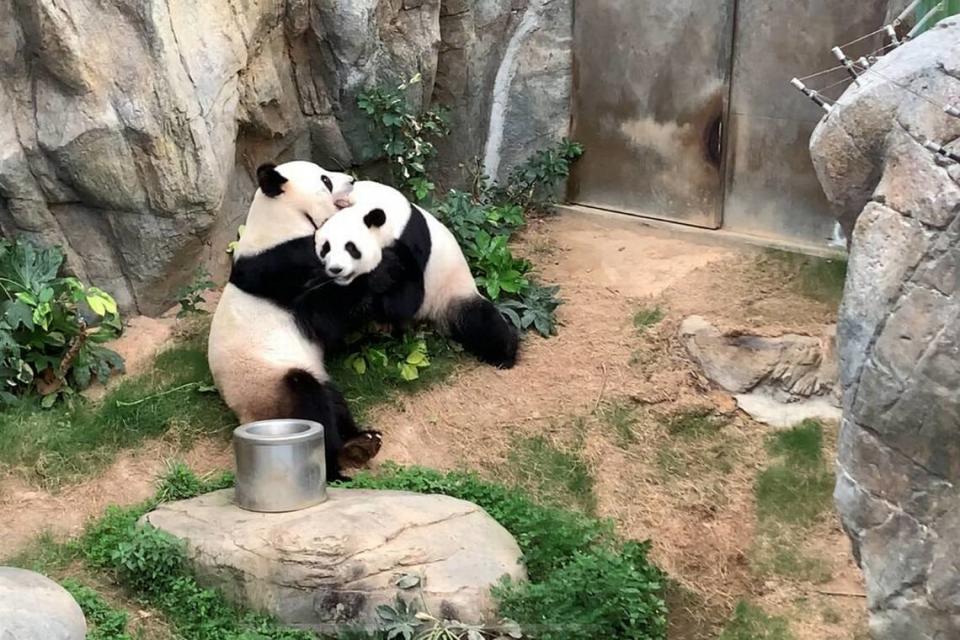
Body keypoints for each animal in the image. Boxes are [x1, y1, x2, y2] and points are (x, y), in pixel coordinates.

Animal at [209, 160, 382, 480]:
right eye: (325, 180)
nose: (352, 180)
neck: (281, 220)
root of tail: (245, 417)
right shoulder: (282, 267)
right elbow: (325, 316)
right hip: (269, 385)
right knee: (309, 401)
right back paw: (336, 464)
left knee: (332, 399)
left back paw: (361, 442)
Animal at [314, 182, 516, 368]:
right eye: (326, 248)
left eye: (351, 248)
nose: (336, 269)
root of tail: (429, 321)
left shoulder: (411, 242)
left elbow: (406, 300)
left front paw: (379, 279)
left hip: (451, 293)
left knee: (480, 320)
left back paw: (503, 356)